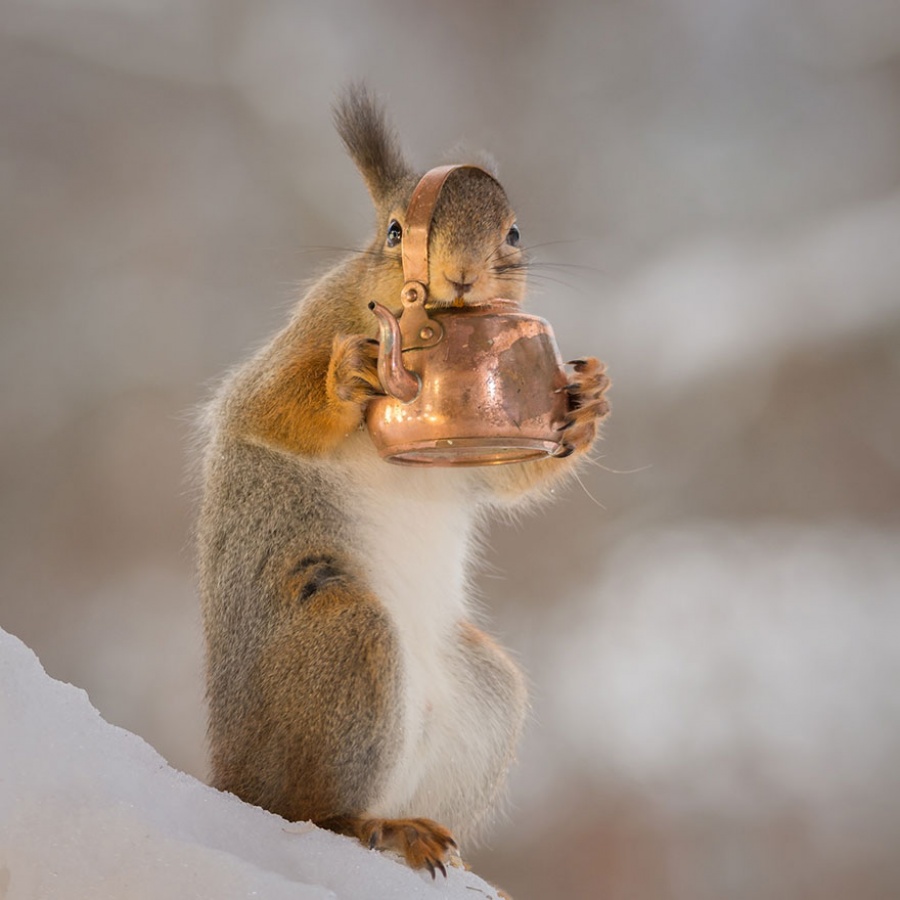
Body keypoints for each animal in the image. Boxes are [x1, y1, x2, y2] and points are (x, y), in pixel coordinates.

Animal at [193, 86, 608, 880]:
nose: (461, 276)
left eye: (513, 231)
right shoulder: (303, 336)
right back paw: (374, 827)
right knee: (313, 812)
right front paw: (347, 374)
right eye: (394, 232)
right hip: (342, 640)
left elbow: (514, 479)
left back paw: (426, 835)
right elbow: (268, 409)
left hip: (484, 697)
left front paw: (588, 401)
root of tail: (233, 780)